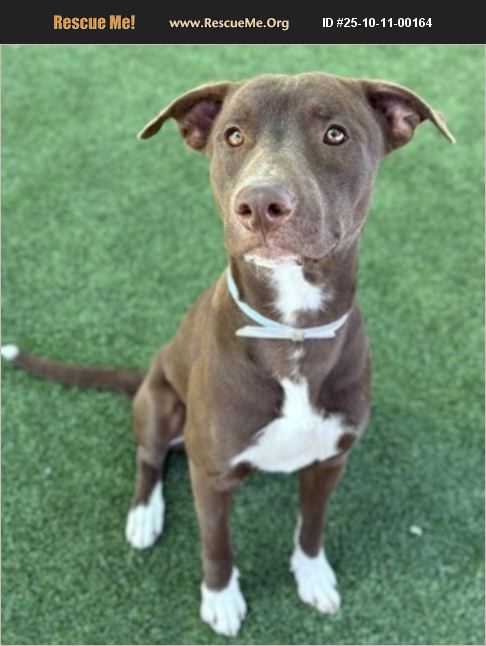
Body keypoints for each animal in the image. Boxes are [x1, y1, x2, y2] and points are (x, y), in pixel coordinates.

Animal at [1, 72, 453, 637]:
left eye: (336, 134)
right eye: (233, 136)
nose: (260, 204)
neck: (292, 331)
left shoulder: (331, 459)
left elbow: (312, 525)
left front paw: (312, 575)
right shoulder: (211, 475)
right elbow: (216, 543)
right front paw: (220, 598)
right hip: (159, 402)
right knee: (149, 458)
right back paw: (144, 516)